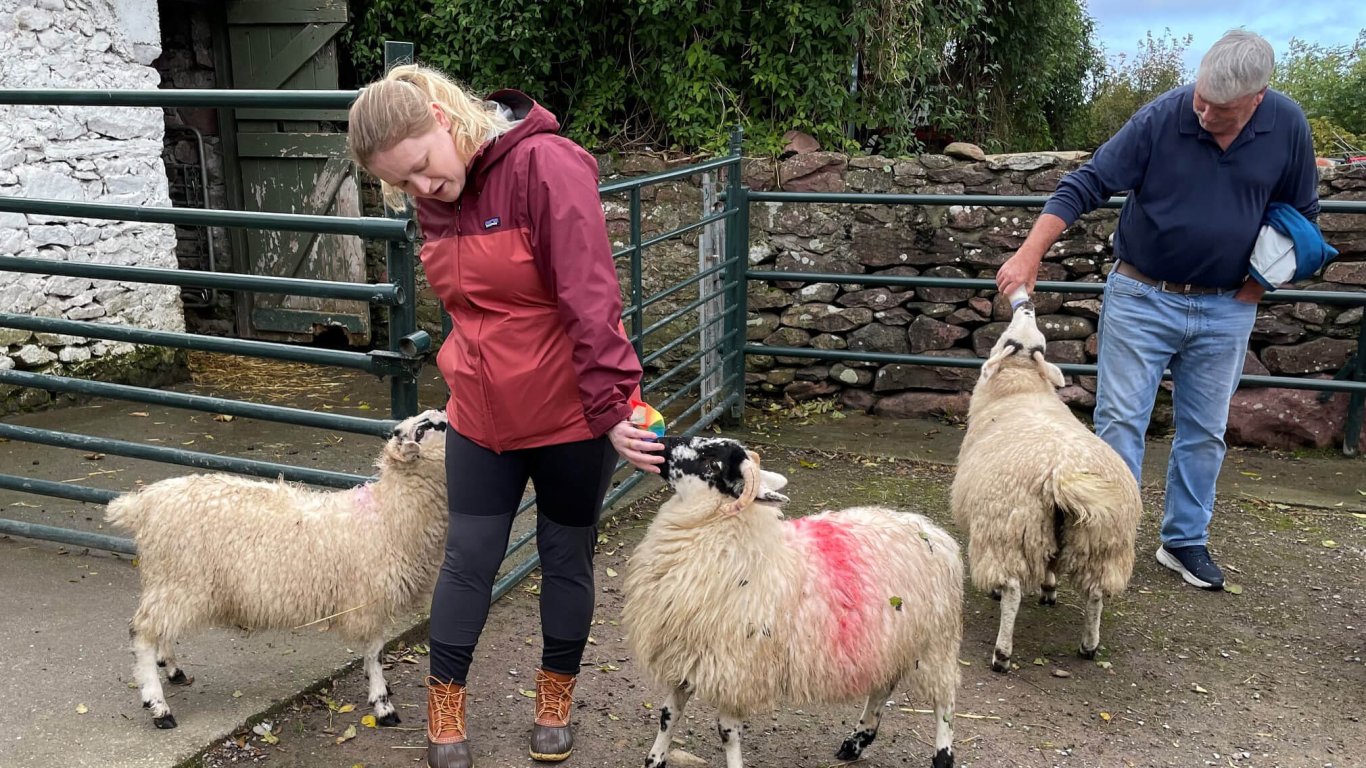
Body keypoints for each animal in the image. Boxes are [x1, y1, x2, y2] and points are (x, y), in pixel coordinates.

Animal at [622, 437, 961, 765]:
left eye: (712, 462)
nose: (661, 444)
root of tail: (932, 531)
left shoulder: (737, 669)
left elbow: (727, 731)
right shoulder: (685, 656)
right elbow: (668, 715)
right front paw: (654, 760)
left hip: (935, 643)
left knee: (944, 702)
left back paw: (942, 756)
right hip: (888, 643)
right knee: (882, 687)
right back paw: (856, 742)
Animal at [956, 299, 1147, 669]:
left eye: (1007, 338)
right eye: (1041, 344)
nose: (1027, 304)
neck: (1022, 386)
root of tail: (1063, 473)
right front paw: (1049, 588)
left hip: (1009, 530)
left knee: (1013, 590)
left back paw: (1002, 653)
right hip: (1104, 542)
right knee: (1096, 594)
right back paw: (1089, 645)